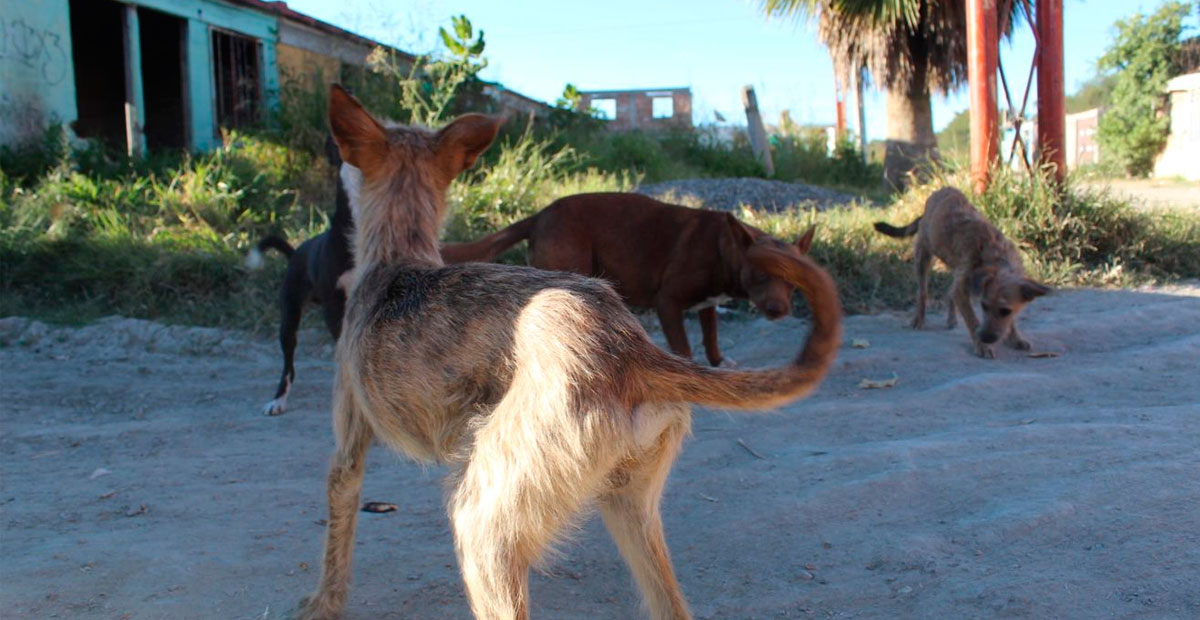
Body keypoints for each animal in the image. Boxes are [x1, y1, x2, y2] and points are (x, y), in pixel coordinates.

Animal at [441, 193, 816, 364]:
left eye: (794, 281)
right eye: (760, 275)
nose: (779, 311)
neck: (725, 247)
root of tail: (539, 216)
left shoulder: (707, 305)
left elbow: (711, 335)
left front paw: (718, 361)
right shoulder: (669, 302)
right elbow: (684, 346)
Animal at [873, 184, 1051, 357]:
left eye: (1005, 311)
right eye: (984, 306)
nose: (985, 337)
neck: (997, 255)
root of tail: (939, 192)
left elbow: (1008, 319)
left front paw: (1015, 338)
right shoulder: (963, 286)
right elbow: (972, 320)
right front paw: (982, 346)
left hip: (953, 266)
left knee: (949, 291)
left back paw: (951, 319)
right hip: (923, 255)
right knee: (922, 292)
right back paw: (919, 319)